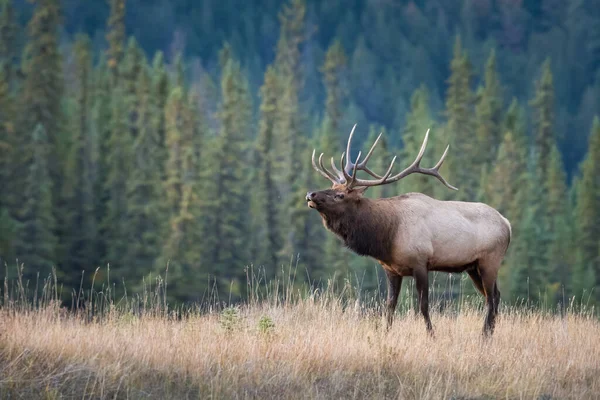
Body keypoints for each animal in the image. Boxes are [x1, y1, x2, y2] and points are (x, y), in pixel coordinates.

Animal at [310, 124, 510, 334]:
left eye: (340, 195)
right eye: (332, 187)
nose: (311, 194)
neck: (387, 235)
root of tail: (507, 223)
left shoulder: (420, 263)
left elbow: (423, 305)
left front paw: (431, 335)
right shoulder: (391, 269)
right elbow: (390, 306)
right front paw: (386, 333)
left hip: (490, 261)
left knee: (491, 298)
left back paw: (484, 335)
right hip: (473, 267)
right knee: (494, 296)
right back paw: (488, 334)